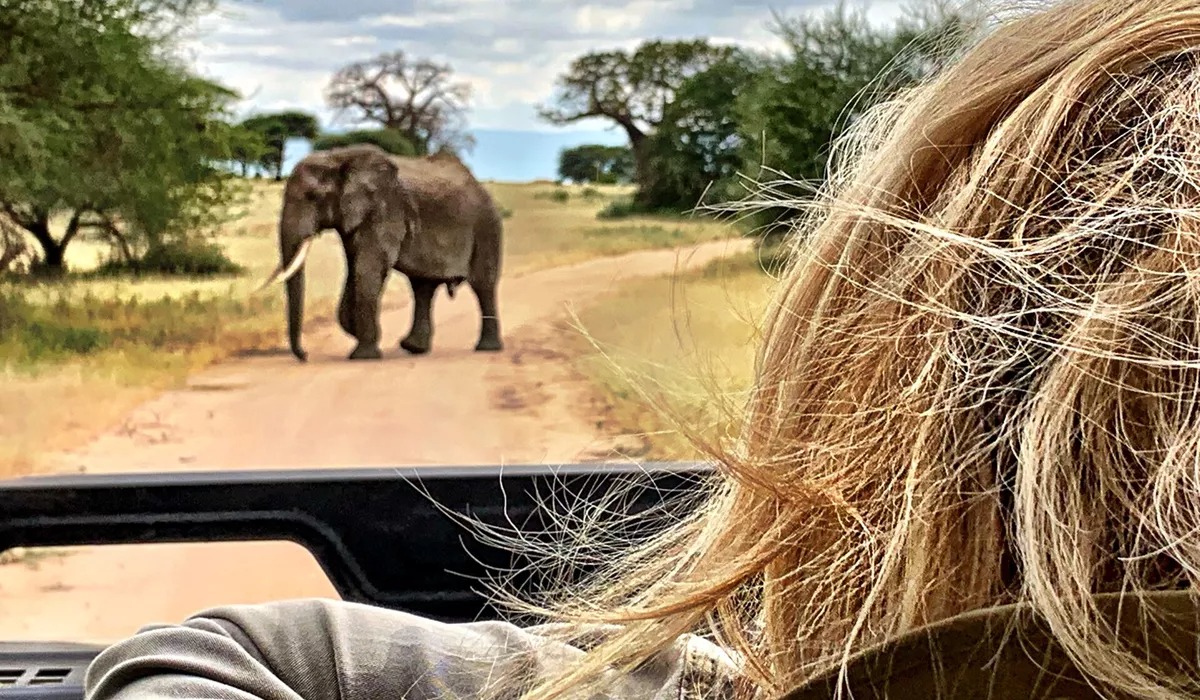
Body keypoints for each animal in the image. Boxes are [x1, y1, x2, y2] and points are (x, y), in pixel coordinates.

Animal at [258, 144, 503, 362]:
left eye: (312, 197)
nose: (305, 356)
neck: (338, 157)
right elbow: (355, 268)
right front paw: (358, 332)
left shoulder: (386, 210)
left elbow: (368, 268)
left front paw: (363, 355)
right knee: (422, 287)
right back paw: (413, 347)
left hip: (486, 226)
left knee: (483, 284)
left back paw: (486, 348)